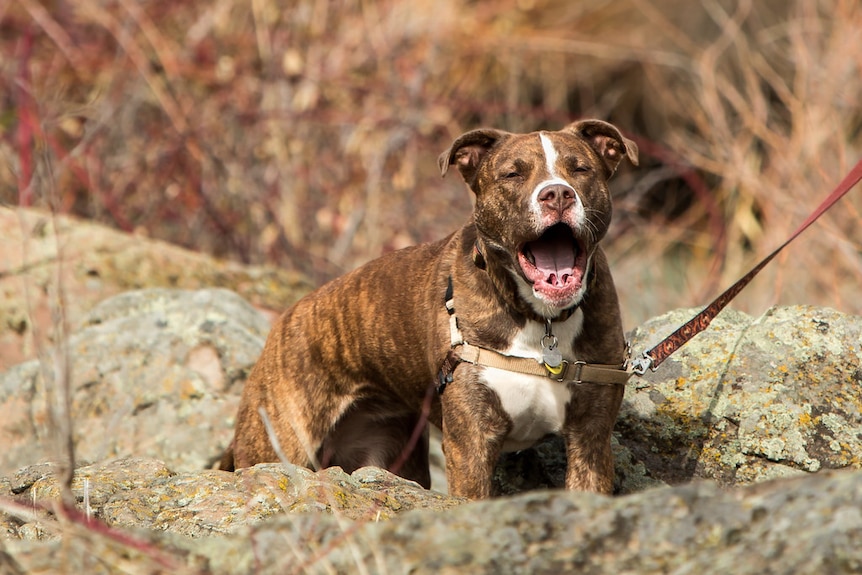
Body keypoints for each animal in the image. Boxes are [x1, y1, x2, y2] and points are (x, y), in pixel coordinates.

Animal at [221, 120, 640, 500]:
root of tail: (283, 322)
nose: (557, 193)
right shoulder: (470, 444)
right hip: (278, 442)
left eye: (580, 169)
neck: (542, 320)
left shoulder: (589, 438)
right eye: (512, 174)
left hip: (392, 454)